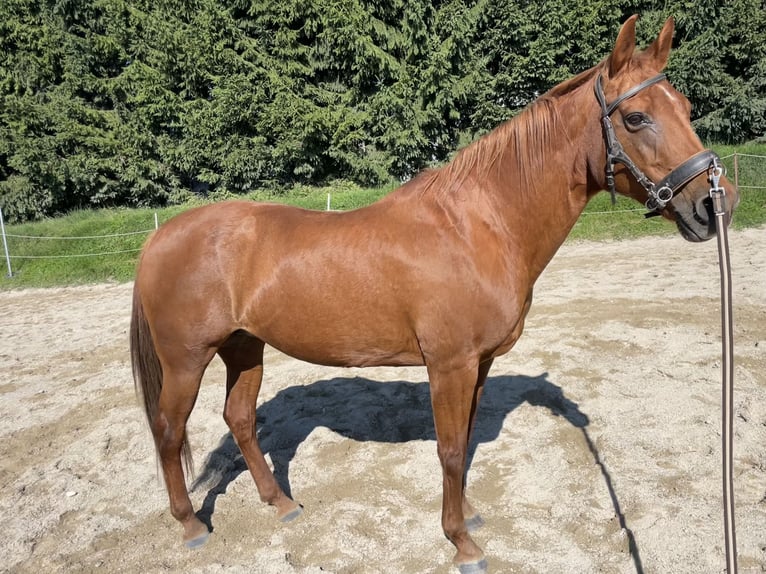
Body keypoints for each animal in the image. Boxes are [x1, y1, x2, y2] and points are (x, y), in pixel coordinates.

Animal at [130, 15, 737, 573]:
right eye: (636, 118)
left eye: (685, 108)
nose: (716, 204)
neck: (478, 227)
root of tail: (161, 236)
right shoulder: (449, 365)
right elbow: (448, 450)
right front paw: (462, 544)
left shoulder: (479, 363)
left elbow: (464, 444)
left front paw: (467, 518)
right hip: (187, 359)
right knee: (167, 431)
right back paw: (191, 525)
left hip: (244, 347)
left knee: (239, 419)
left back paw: (281, 504)